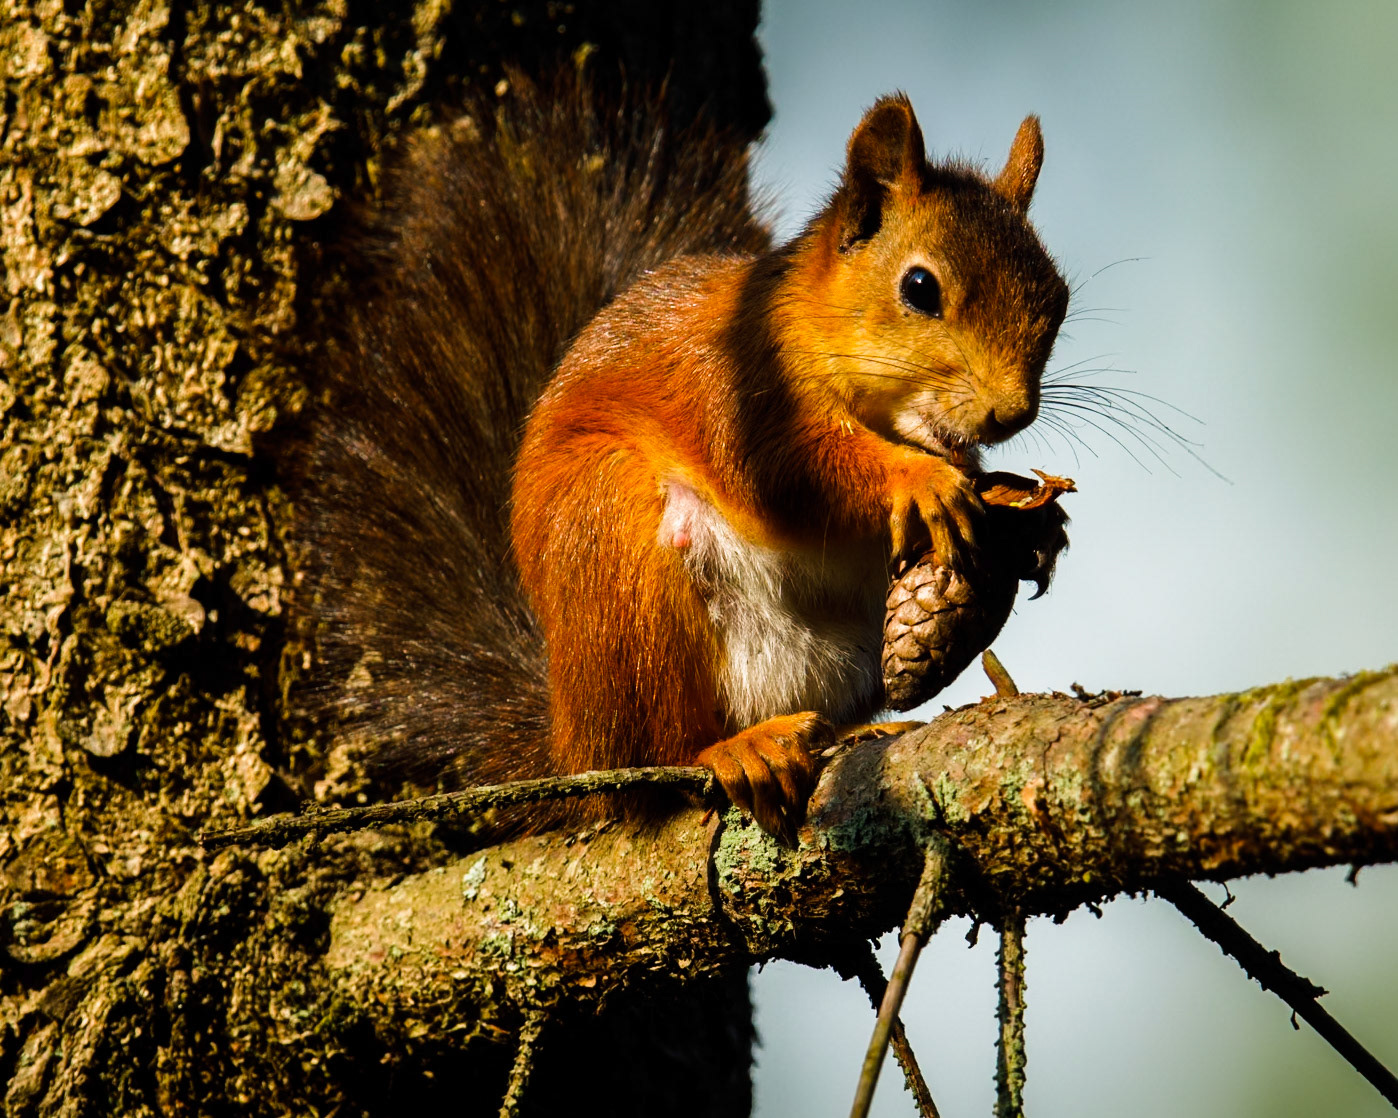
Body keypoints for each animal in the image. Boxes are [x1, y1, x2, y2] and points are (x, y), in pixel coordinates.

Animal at [296, 72, 1069, 843]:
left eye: (1057, 297)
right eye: (919, 288)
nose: (1011, 413)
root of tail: (573, 743)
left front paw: (1025, 513)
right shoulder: (733, 396)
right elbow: (792, 478)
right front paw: (920, 478)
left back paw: (849, 734)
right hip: (614, 559)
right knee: (659, 754)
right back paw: (734, 750)